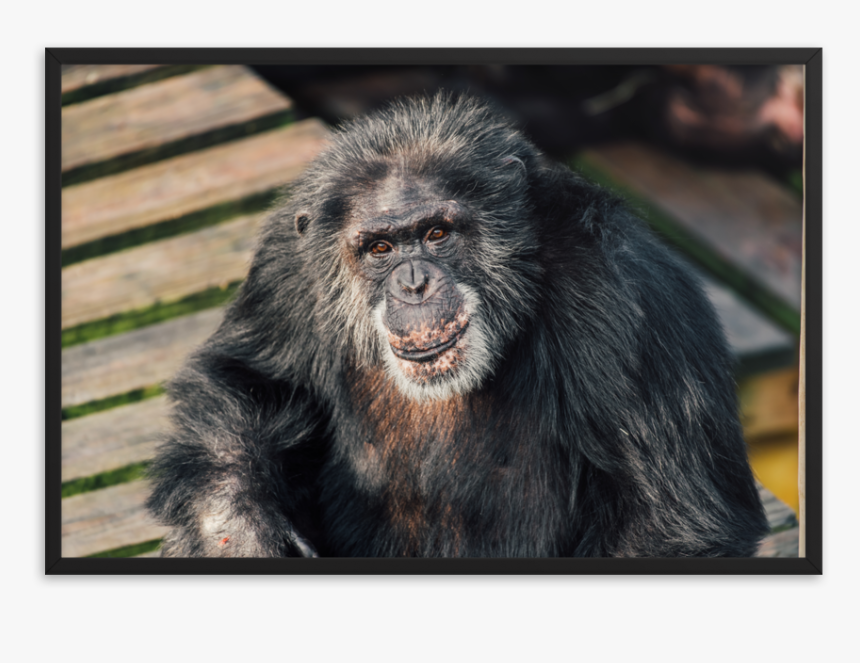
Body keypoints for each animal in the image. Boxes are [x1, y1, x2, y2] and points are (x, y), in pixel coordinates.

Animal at [146, 93, 769, 558]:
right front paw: (239, 535)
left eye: (437, 233)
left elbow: (668, 518)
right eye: (380, 248)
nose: (413, 283)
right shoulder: (284, 262)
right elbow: (244, 379)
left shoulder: (624, 292)